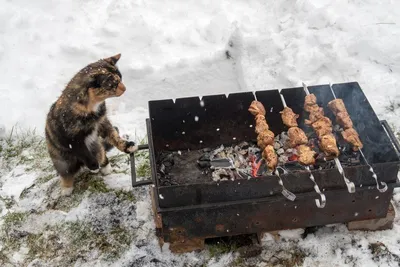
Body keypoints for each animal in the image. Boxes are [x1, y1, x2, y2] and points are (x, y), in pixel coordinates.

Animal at [45, 54, 138, 197]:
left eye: (121, 78)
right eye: (113, 84)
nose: (125, 88)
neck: (91, 108)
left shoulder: (102, 122)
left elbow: (113, 135)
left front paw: (127, 146)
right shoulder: (70, 138)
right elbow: (82, 151)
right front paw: (93, 166)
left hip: (97, 145)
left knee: (102, 152)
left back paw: (105, 167)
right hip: (61, 159)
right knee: (66, 172)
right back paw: (67, 187)